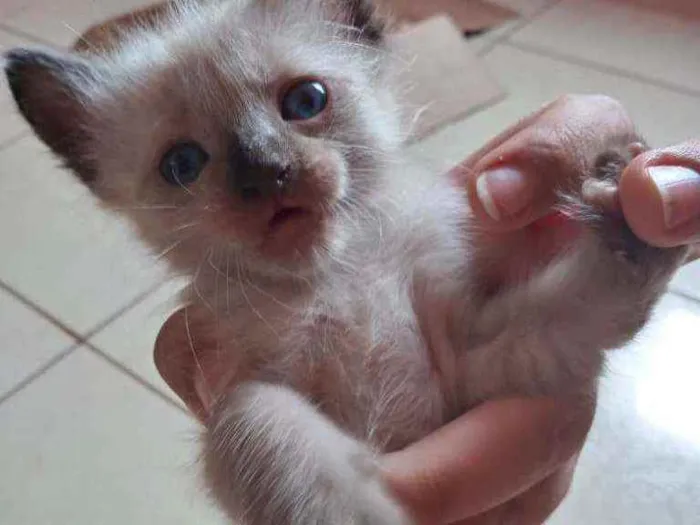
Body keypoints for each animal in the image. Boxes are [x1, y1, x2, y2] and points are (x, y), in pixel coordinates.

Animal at [2, 1, 688, 524]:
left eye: (306, 101)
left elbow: (591, 299)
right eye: (182, 165)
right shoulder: (239, 385)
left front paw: (628, 205)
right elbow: (255, 417)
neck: (341, 280)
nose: (267, 174)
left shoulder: (486, 369)